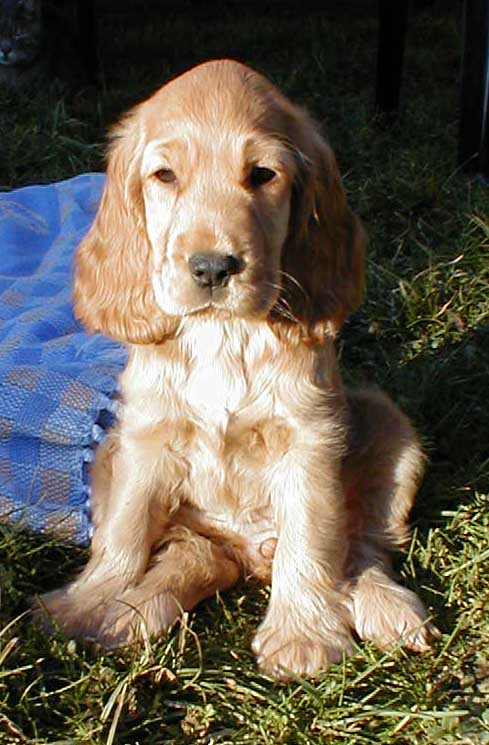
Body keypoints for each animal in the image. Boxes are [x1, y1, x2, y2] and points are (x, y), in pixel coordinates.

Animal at [37, 59, 435, 679]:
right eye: (165, 175)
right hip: (113, 459)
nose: (211, 267)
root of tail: (246, 554)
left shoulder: (307, 438)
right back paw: (125, 615)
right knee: (189, 553)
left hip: (388, 422)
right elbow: (124, 533)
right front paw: (86, 602)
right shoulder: (146, 437)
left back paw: (388, 609)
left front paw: (302, 635)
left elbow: (311, 538)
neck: (222, 334)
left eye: (262, 174)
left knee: (361, 548)